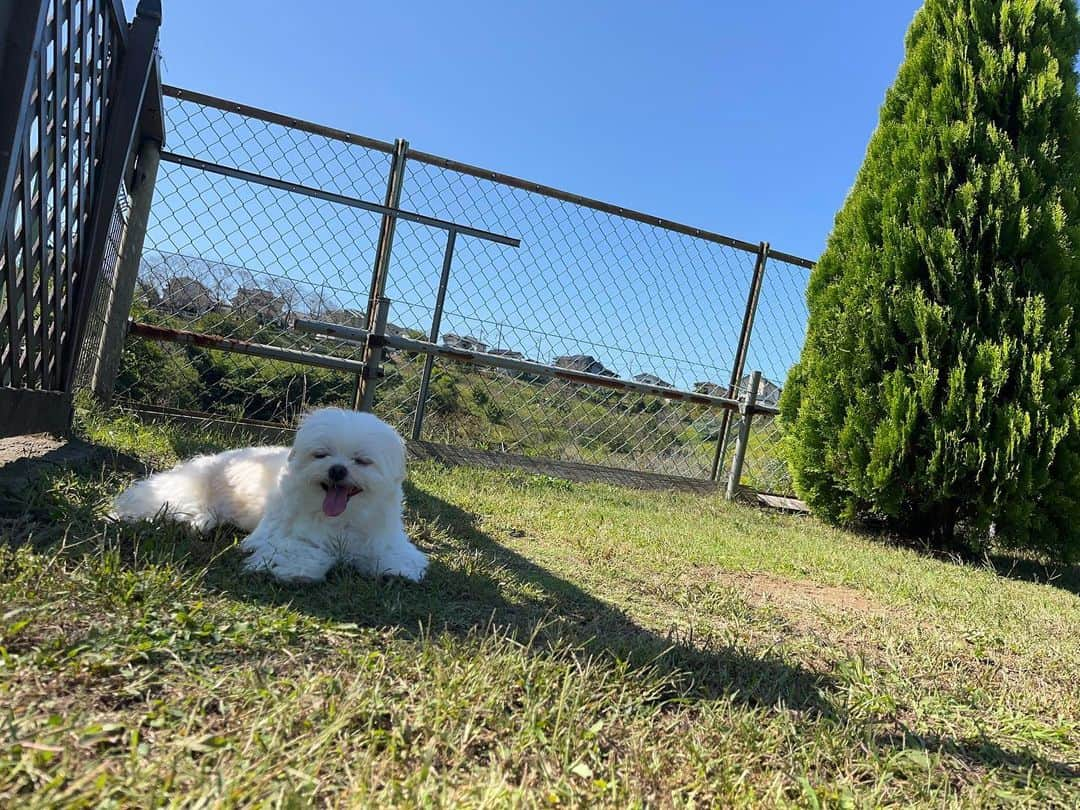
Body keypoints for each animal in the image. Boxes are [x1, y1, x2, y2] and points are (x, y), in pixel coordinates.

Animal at [110, 408, 425, 587]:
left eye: (361, 461)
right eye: (321, 455)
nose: (337, 470)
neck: (339, 517)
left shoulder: (380, 536)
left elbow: (393, 553)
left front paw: (397, 570)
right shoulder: (279, 537)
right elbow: (299, 550)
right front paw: (295, 572)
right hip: (186, 489)